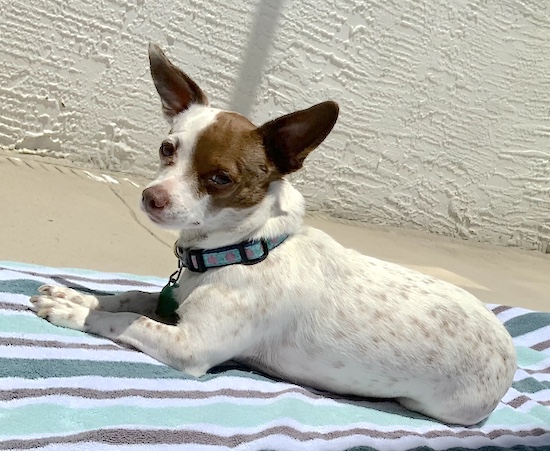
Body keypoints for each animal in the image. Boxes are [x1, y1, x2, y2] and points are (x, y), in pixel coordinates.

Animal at [31, 42, 516, 428]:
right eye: (167, 149)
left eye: (221, 178)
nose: (152, 197)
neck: (243, 250)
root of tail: (509, 351)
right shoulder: (174, 299)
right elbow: (130, 297)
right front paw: (77, 296)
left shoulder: (190, 347)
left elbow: (128, 319)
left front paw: (76, 313)